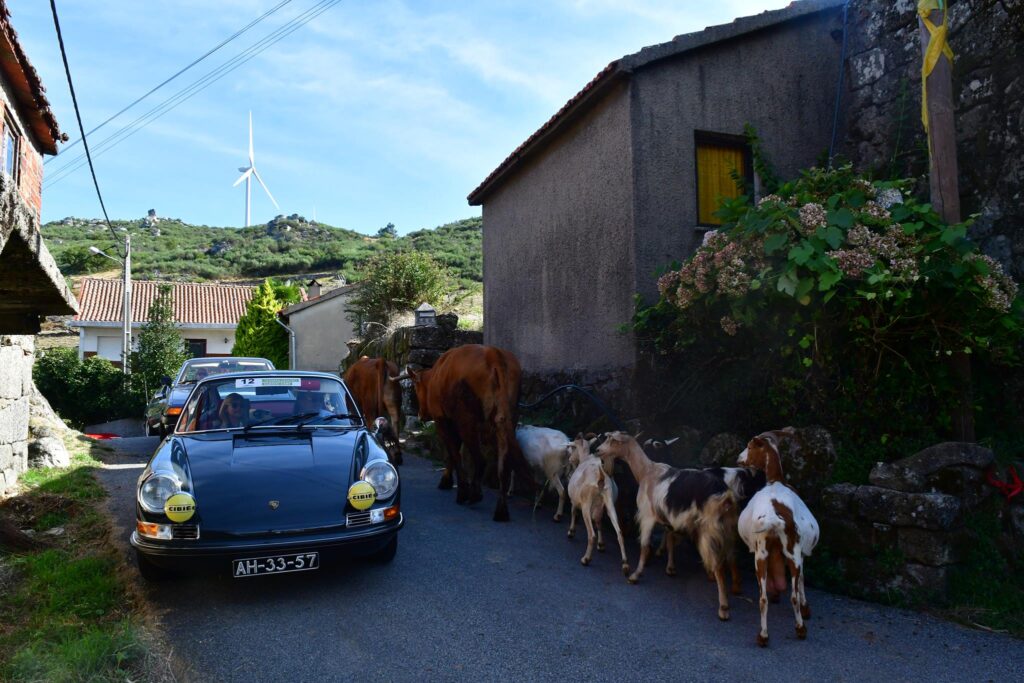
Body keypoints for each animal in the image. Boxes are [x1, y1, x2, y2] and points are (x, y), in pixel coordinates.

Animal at [407, 344, 536, 520]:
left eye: (415, 387)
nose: (421, 414)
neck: (435, 375)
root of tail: (493, 353)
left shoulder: (443, 420)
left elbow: (453, 454)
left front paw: (457, 488)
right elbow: (453, 453)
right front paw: (447, 481)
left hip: (466, 419)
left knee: (480, 460)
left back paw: (472, 494)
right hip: (508, 417)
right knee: (504, 464)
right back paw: (501, 509)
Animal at [565, 436, 626, 573]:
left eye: (573, 447)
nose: (570, 459)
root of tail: (601, 476)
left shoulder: (575, 500)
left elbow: (573, 512)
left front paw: (571, 532)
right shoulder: (600, 507)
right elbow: (598, 522)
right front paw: (601, 545)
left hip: (586, 505)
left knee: (591, 534)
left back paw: (586, 559)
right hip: (609, 502)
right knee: (619, 532)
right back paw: (625, 565)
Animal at [598, 436, 741, 622]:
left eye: (612, 440)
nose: (598, 450)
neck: (646, 471)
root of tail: (726, 497)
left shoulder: (647, 516)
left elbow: (645, 546)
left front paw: (635, 575)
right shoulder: (671, 519)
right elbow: (671, 540)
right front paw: (671, 568)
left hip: (709, 531)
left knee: (719, 566)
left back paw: (723, 608)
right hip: (728, 530)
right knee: (732, 558)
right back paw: (735, 589)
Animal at [741, 430, 819, 651]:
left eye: (749, 447)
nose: (740, 459)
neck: (775, 481)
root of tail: (774, 518)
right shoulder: (801, 552)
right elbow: (802, 579)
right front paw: (806, 608)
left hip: (762, 554)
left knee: (764, 598)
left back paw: (766, 635)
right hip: (789, 552)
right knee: (788, 595)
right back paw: (797, 628)